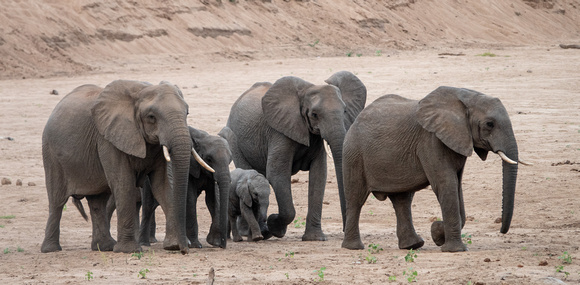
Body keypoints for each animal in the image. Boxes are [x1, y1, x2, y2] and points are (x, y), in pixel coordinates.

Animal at [40, 79, 213, 253]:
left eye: (187, 113)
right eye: (151, 117)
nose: (185, 250)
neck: (141, 91)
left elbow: (162, 185)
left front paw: (173, 246)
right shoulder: (108, 139)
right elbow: (124, 184)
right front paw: (129, 250)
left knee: (97, 202)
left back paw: (104, 247)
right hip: (51, 153)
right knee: (57, 200)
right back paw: (51, 249)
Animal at [221, 71, 368, 240]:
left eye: (344, 111)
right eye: (314, 114)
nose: (344, 230)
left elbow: (319, 174)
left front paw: (314, 238)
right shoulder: (279, 132)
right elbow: (276, 173)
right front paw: (274, 226)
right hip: (235, 138)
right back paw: (250, 232)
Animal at [342, 86, 532, 251]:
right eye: (490, 124)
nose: (501, 230)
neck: (466, 98)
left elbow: (457, 185)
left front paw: (437, 233)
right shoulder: (430, 140)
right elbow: (445, 184)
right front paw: (453, 248)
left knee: (402, 200)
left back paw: (413, 245)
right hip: (354, 154)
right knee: (356, 198)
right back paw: (354, 247)